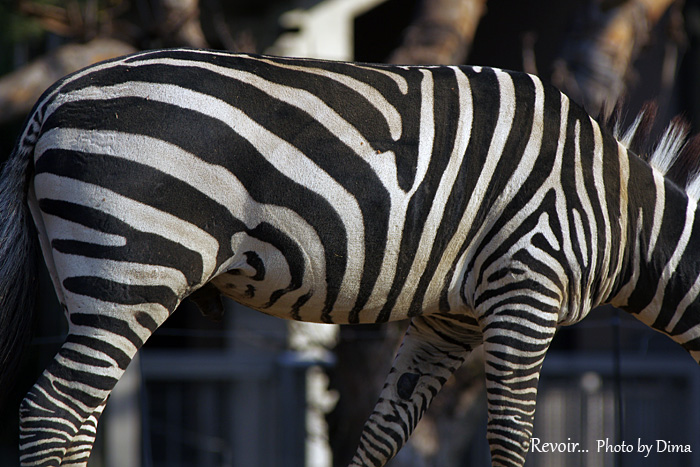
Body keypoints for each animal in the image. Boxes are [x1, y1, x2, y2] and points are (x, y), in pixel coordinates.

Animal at [0, 48, 696, 467]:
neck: (622, 216)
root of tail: (54, 97)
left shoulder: (448, 319)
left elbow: (381, 434)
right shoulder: (527, 286)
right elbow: (510, 437)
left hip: (86, 274)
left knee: (77, 418)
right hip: (136, 267)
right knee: (51, 412)